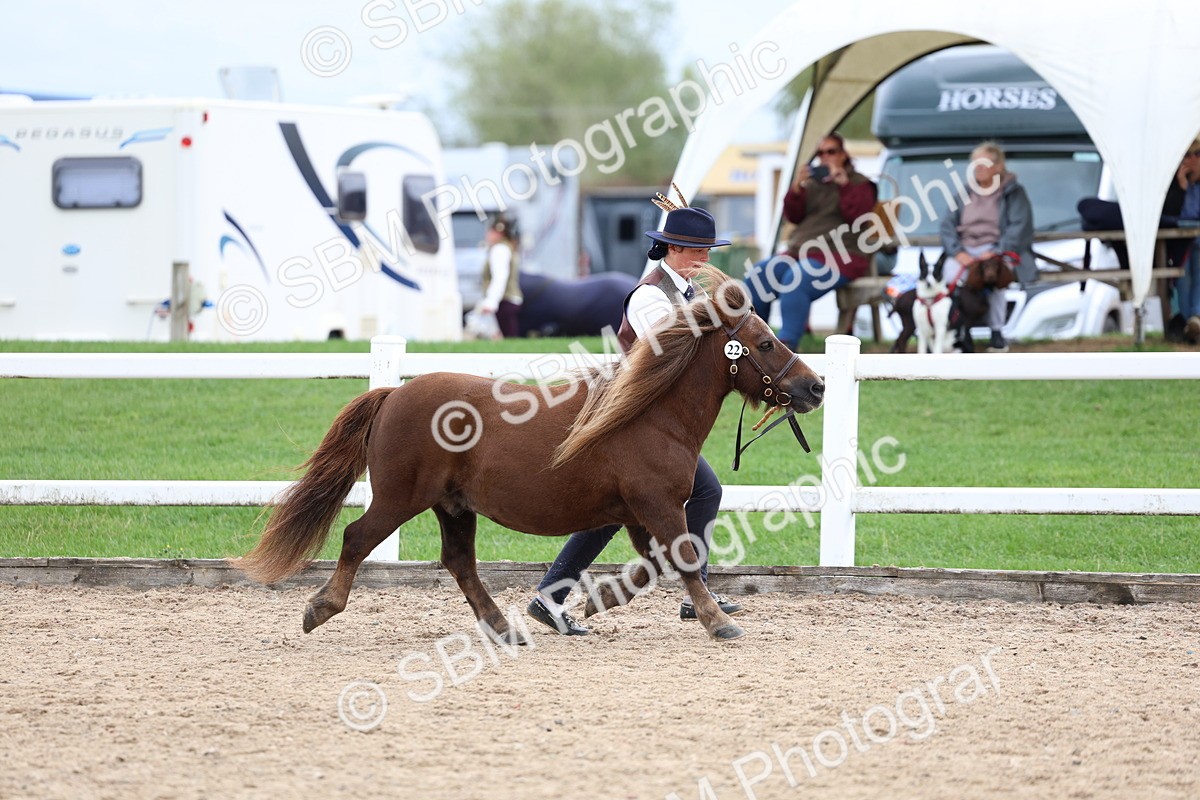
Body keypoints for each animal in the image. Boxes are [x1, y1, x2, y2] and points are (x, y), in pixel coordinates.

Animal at [235, 267, 824, 642]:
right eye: (765, 343)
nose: (815, 386)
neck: (650, 416)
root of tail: (393, 394)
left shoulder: (638, 513)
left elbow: (657, 564)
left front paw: (599, 600)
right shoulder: (657, 506)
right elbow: (682, 557)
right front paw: (717, 621)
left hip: (453, 506)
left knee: (460, 562)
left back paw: (503, 628)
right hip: (402, 498)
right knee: (358, 538)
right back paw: (320, 608)